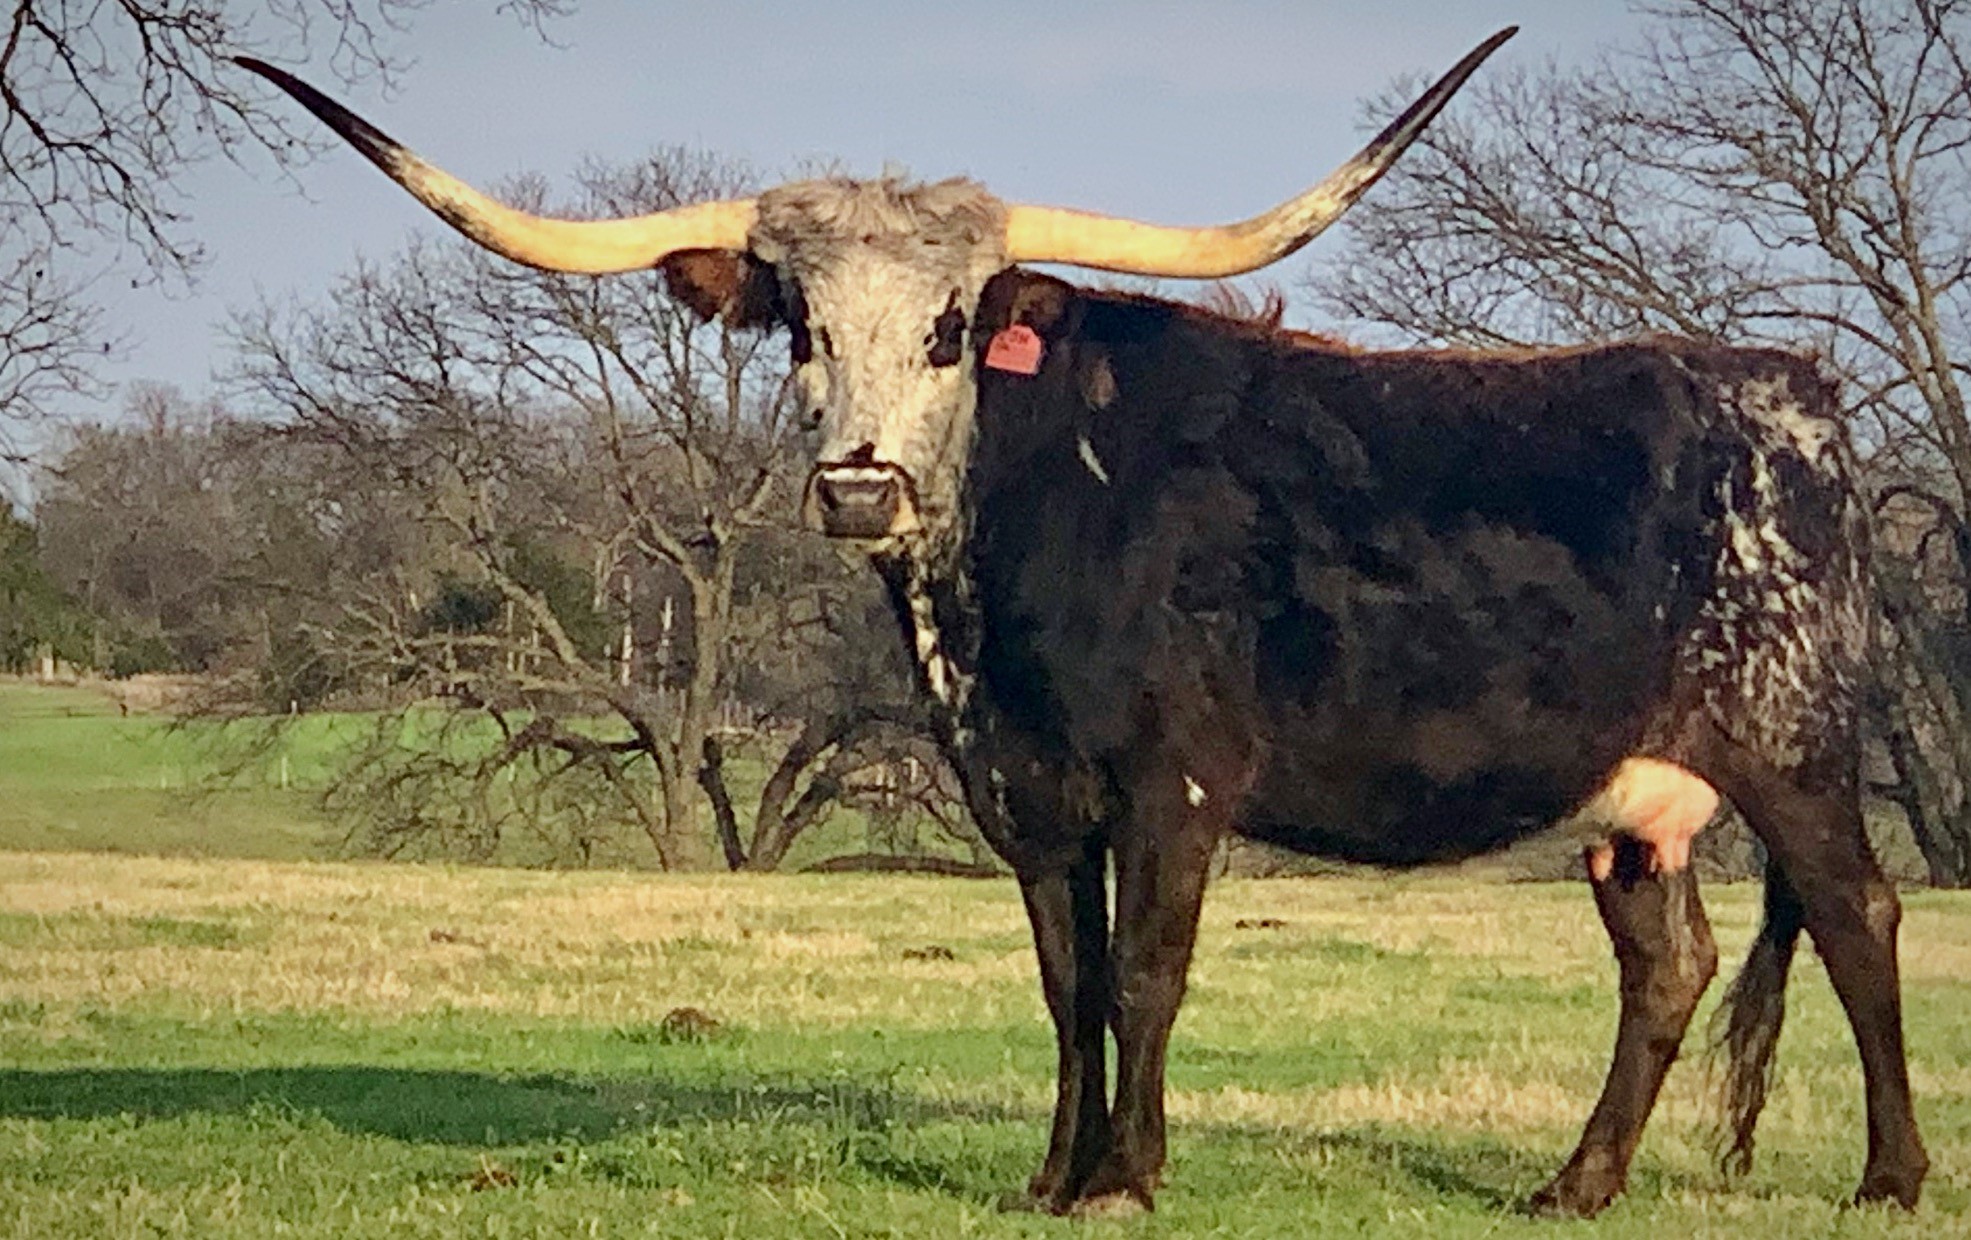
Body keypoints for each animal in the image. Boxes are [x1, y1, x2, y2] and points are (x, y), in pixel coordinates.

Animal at [243, 26, 1928, 1218]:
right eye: (801, 326)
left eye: (951, 328)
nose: (856, 487)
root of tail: (1795, 389)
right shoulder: (1025, 793)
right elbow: (1065, 981)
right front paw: (1052, 1175)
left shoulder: (1170, 785)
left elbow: (1144, 973)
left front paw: (1127, 1176)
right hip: (1634, 799)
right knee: (1666, 963)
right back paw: (1569, 1188)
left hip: (1789, 749)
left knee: (1855, 917)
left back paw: (1887, 1178)